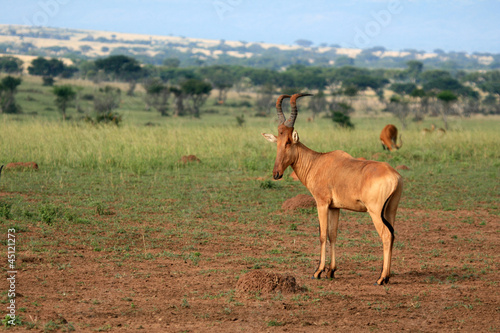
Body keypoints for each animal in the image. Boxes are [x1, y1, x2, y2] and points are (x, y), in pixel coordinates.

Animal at [264, 92, 404, 282]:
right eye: (277, 141)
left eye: (288, 142)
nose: (276, 174)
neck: (318, 161)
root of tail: (395, 176)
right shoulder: (335, 207)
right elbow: (333, 235)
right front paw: (331, 271)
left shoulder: (322, 204)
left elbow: (322, 235)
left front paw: (318, 271)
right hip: (390, 211)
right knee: (393, 234)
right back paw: (387, 276)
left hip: (375, 212)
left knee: (386, 235)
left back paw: (381, 279)